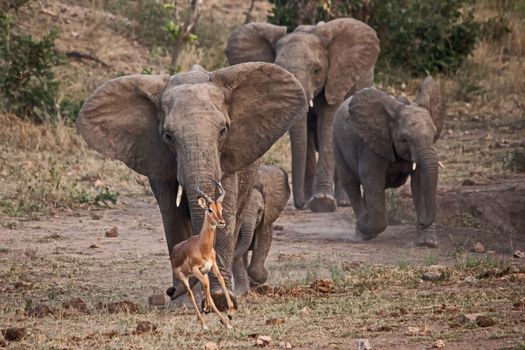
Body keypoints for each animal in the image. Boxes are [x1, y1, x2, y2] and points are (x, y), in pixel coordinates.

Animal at [224, 19, 376, 213]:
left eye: (317, 70)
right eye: (279, 68)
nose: (299, 204)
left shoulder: (336, 81)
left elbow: (327, 127)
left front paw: (322, 203)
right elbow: (306, 137)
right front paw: (310, 201)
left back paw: (343, 202)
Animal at [332, 76, 442, 246]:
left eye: (434, 135)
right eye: (404, 139)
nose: (423, 221)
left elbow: (420, 181)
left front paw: (427, 243)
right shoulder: (372, 145)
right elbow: (372, 179)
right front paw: (366, 223)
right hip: (336, 141)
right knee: (350, 182)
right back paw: (363, 228)